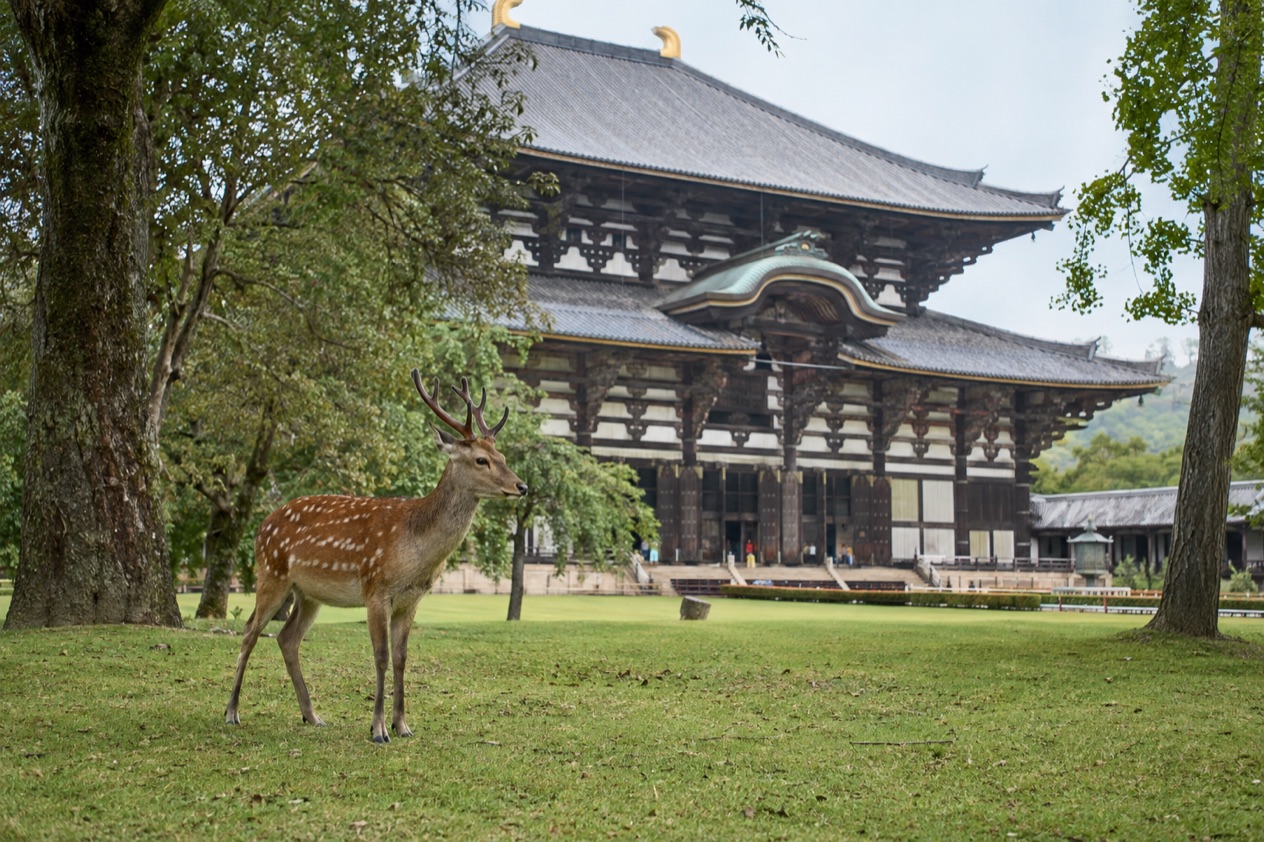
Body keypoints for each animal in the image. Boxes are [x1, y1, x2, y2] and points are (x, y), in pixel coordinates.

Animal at [225, 371, 527, 743]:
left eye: (502, 456)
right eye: (481, 460)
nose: (522, 486)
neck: (416, 552)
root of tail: (261, 525)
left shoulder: (411, 600)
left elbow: (401, 658)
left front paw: (403, 725)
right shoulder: (375, 590)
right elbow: (381, 656)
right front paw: (379, 729)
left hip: (308, 594)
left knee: (287, 638)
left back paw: (312, 716)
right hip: (271, 573)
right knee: (250, 631)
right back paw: (232, 712)